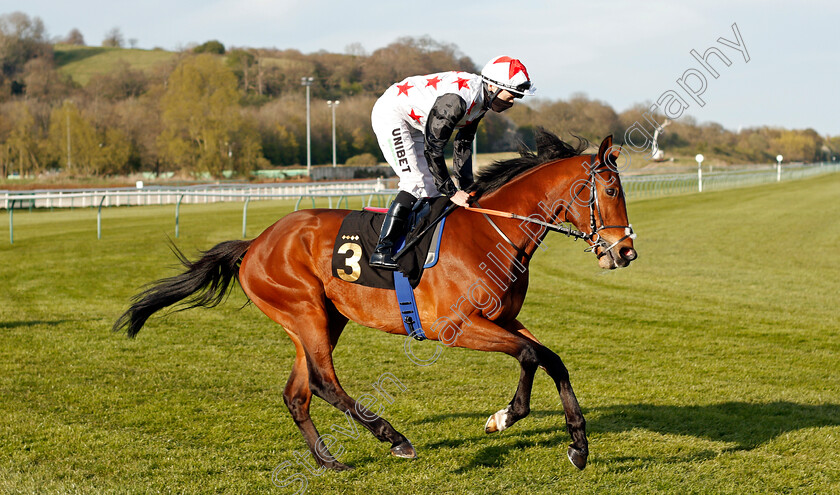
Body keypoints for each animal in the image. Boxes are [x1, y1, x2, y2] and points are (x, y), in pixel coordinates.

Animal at [111, 131, 636, 472]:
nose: (625, 251)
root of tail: (255, 242)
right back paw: (395, 439)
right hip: (305, 311)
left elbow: (549, 358)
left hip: (323, 319)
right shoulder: (456, 327)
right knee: (323, 382)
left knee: (297, 392)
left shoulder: (504, 318)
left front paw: (570, 442)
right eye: (611, 189)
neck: (491, 232)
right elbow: (531, 355)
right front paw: (510, 420)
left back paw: (328, 461)